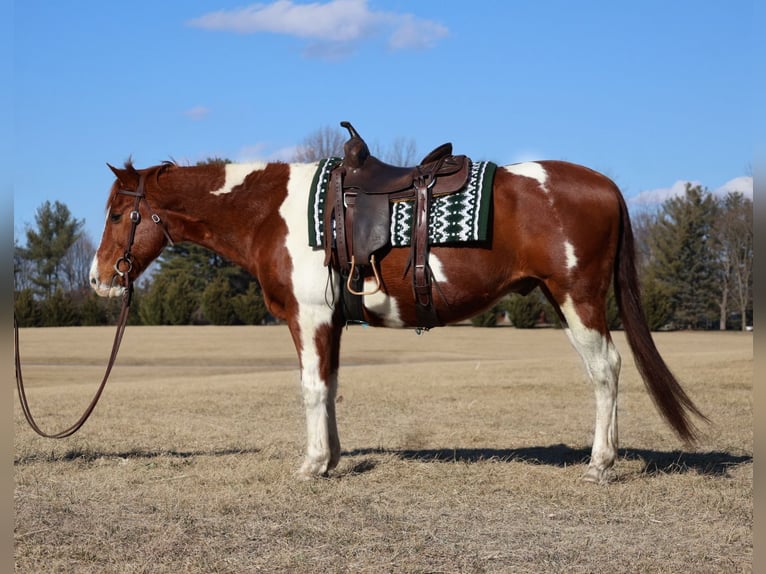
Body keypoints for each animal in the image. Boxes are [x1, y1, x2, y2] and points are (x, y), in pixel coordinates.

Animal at [90, 128, 708, 484]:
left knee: (606, 370)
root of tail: (606, 186)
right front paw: (332, 458)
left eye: (119, 213)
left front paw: (311, 465)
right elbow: (330, 387)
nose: (99, 279)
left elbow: (310, 387)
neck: (271, 212)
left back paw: (601, 463)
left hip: (577, 299)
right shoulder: (331, 322)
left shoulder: (308, 318)